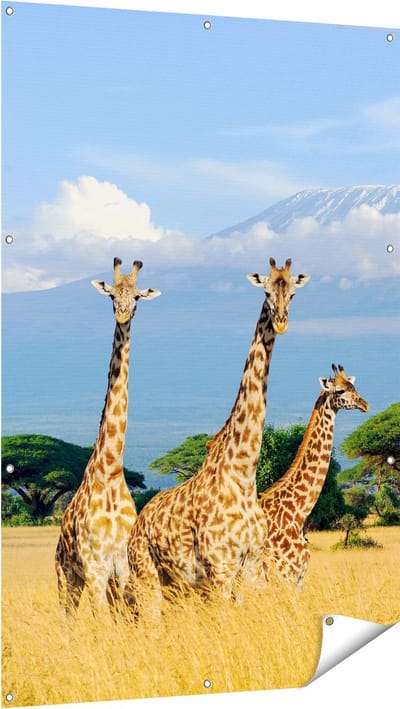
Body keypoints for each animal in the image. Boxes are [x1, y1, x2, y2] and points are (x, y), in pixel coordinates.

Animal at [55, 258, 160, 618]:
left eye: (138, 297)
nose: (123, 315)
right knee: (67, 618)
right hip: (66, 577)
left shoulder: (123, 568)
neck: (111, 469)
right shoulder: (95, 568)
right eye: (112, 295)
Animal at [126, 258, 310, 618]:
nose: (281, 322)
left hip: (177, 584)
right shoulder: (220, 568)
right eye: (266, 291)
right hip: (147, 574)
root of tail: (137, 525)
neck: (243, 474)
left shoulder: (250, 566)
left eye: (294, 293)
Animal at [259, 363, 370, 589]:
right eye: (340, 391)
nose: (365, 405)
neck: (298, 512)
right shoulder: (287, 573)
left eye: (353, 386)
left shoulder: (298, 577)